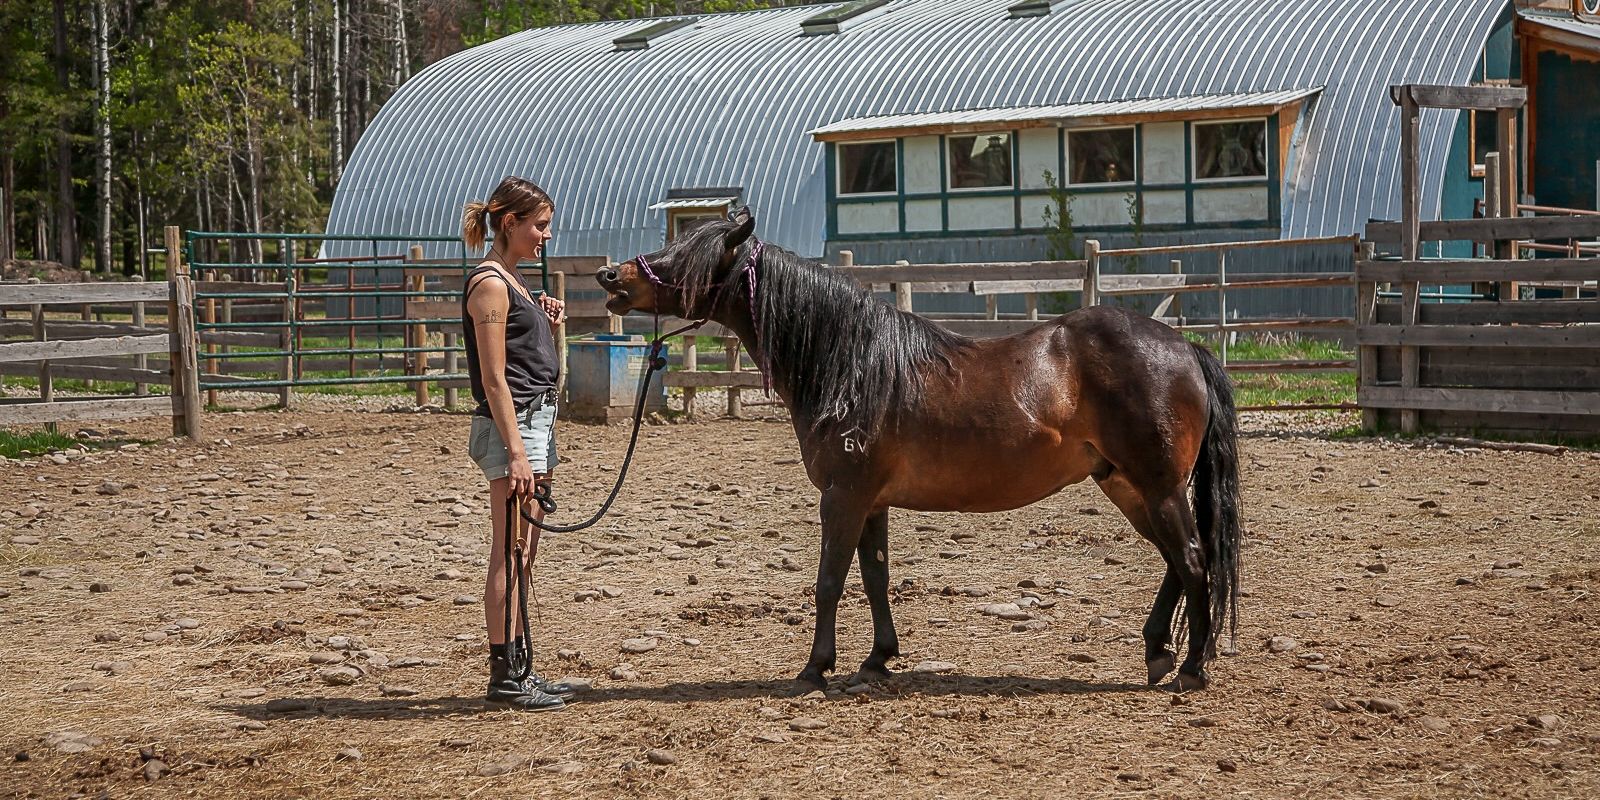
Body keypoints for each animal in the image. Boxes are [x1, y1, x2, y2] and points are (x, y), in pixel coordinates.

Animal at [596, 208, 1241, 692]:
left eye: (686, 253)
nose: (609, 277)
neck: (850, 364)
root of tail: (1184, 348)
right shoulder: (871, 502)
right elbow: (875, 576)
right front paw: (877, 659)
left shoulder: (843, 497)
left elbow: (829, 580)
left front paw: (815, 668)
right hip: (1126, 484)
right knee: (1176, 560)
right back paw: (1158, 653)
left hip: (1157, 486)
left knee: (1192, 559)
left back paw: (1190, 669)